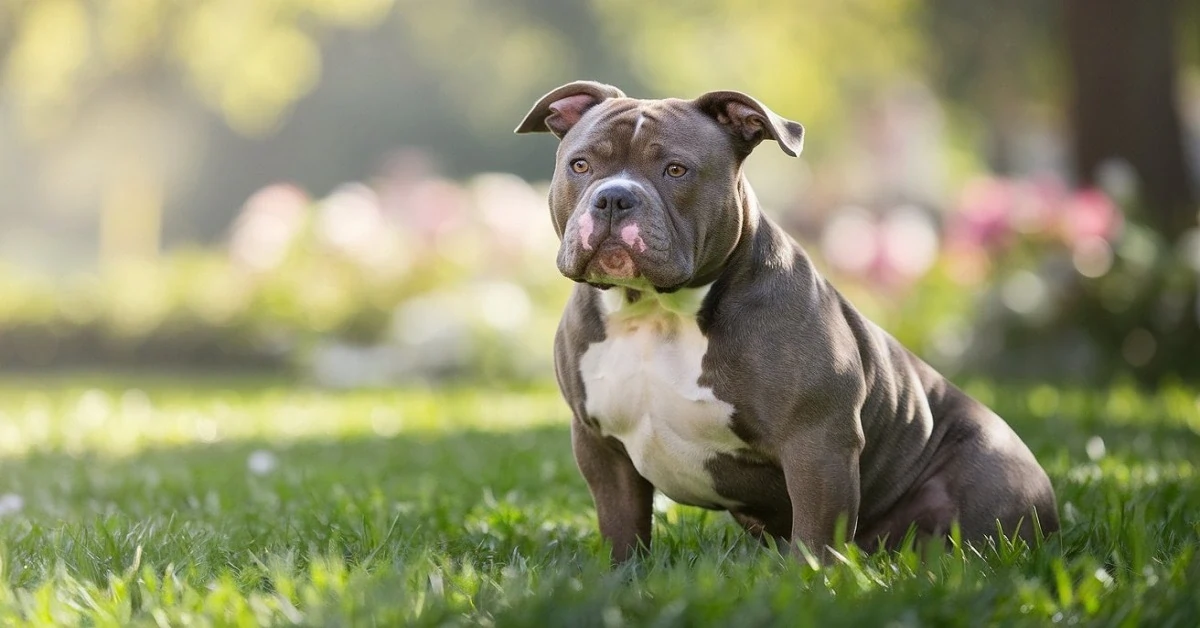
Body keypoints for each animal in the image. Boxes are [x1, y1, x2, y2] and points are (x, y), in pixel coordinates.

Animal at [511, 81, 1056, 561]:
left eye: (676, 170)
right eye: (581, 164)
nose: (614, 197)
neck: (656, 312)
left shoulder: (817, 444)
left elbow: (815, 538)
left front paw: (809, 585)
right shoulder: (600, 446)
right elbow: (623, 530)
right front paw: (620, 578)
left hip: (990, 473)